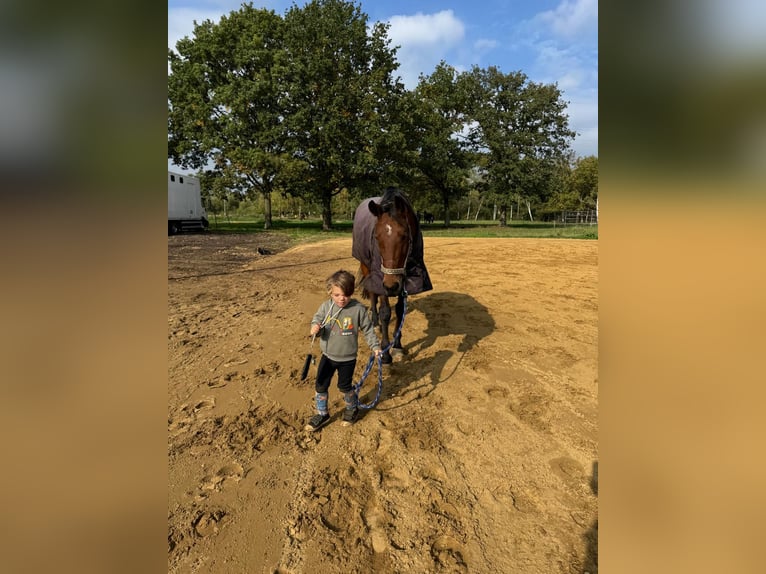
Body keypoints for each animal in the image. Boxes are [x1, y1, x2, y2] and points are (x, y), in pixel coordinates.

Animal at [352, 187, 432, 364]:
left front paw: (397, 345)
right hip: (367, 268)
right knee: (373, 295)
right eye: (376, 237)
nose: (391, 286)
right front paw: (385, 352)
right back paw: (375, 323)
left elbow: (400, 310)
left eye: (404, 236)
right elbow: (385, 312)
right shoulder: (381, 280)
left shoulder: (405, 282)